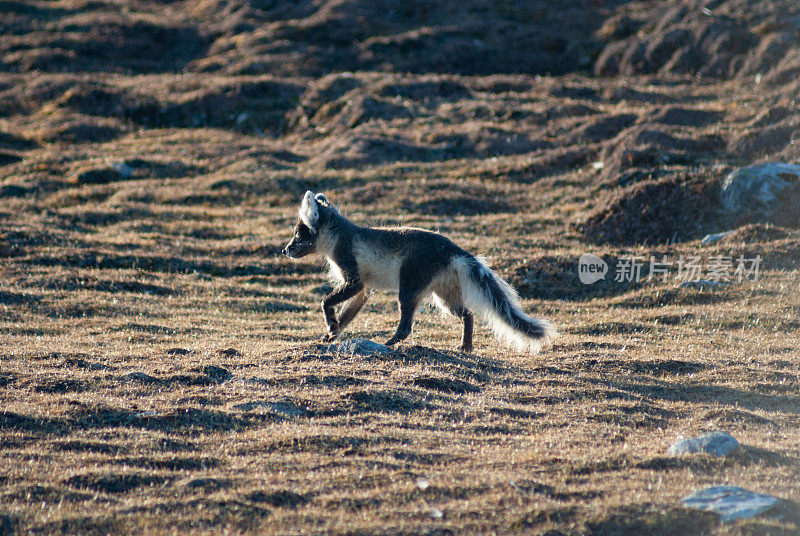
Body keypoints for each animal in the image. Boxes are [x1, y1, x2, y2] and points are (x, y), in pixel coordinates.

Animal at [282, 191, 556, 354]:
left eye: (298, 235)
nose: (285, 250)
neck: (339, 235)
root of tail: (454, 249)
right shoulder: (363, 289)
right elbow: (348, 313)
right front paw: (330, 334)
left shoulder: (353, 276)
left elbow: (326, 301)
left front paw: (330, 324)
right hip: (444, 294)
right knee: (467, 313)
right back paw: (465, 346)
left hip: (410, 286)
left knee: (406, 327)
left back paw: (389, 344)